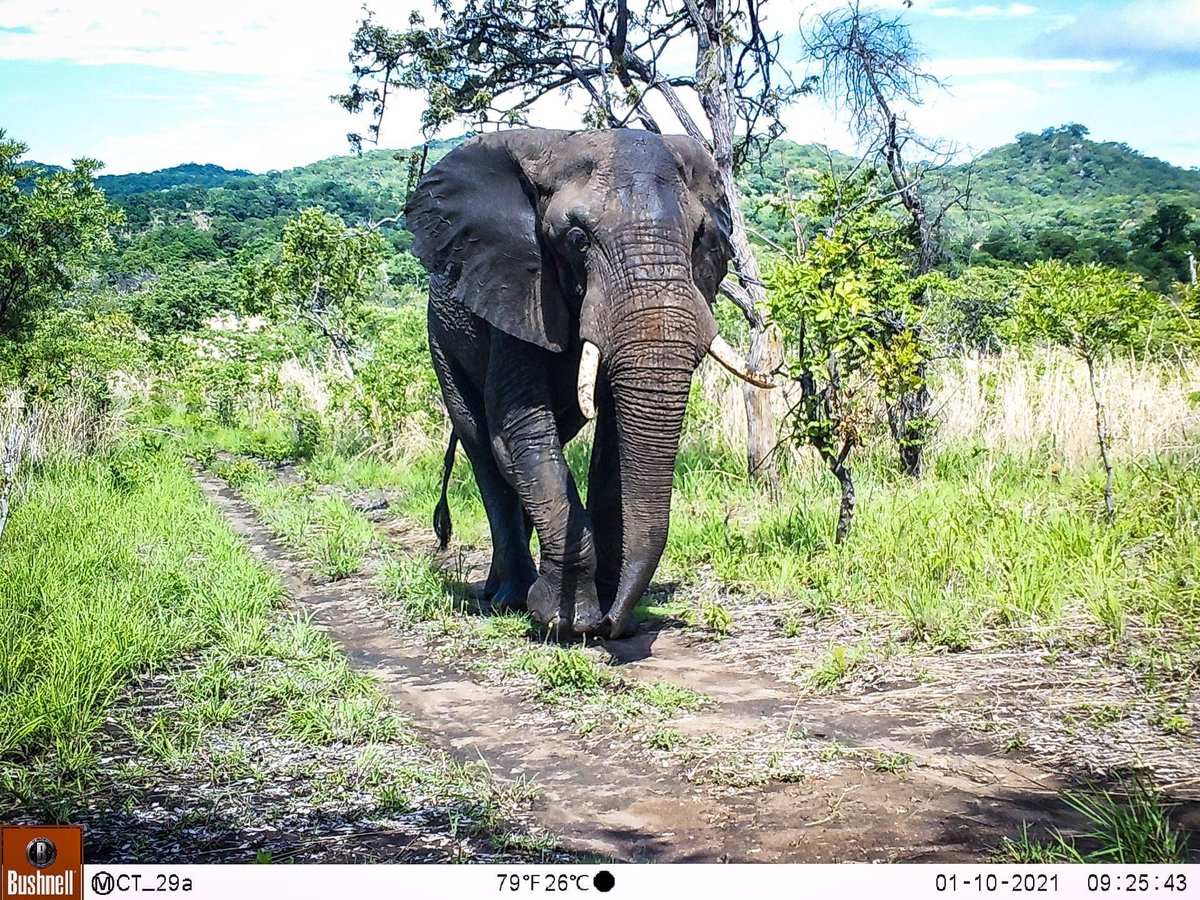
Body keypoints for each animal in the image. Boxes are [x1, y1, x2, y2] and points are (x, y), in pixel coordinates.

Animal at [404, 127, 772, 640]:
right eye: (577, 238)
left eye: (699, 236)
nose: (614, 626)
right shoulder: (517, 292)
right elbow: (520, 433)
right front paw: (567, 622)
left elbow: (613, 440)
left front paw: (605, 611)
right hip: (441, 338)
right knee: (482, 446)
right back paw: (508, 597)